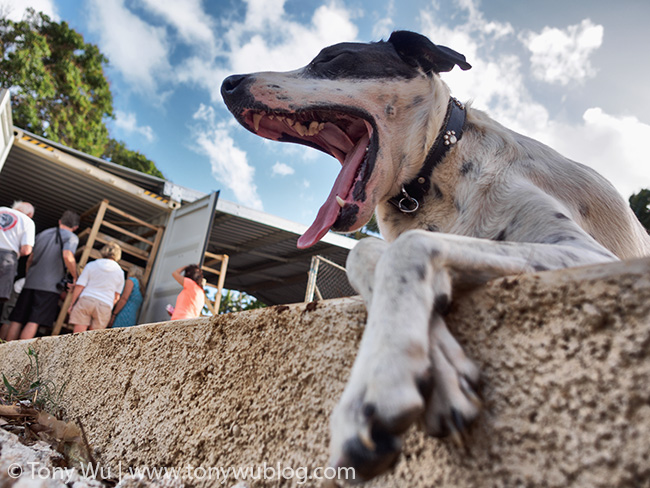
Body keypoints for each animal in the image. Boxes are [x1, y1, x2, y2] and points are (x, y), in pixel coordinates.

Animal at [220, 31, 648, 484]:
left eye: (332, 58)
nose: (227, 83)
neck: (434, 173)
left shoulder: (581, 250)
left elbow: (407, 247)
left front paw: (375, 390)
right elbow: (369, 254)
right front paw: (441, 376)